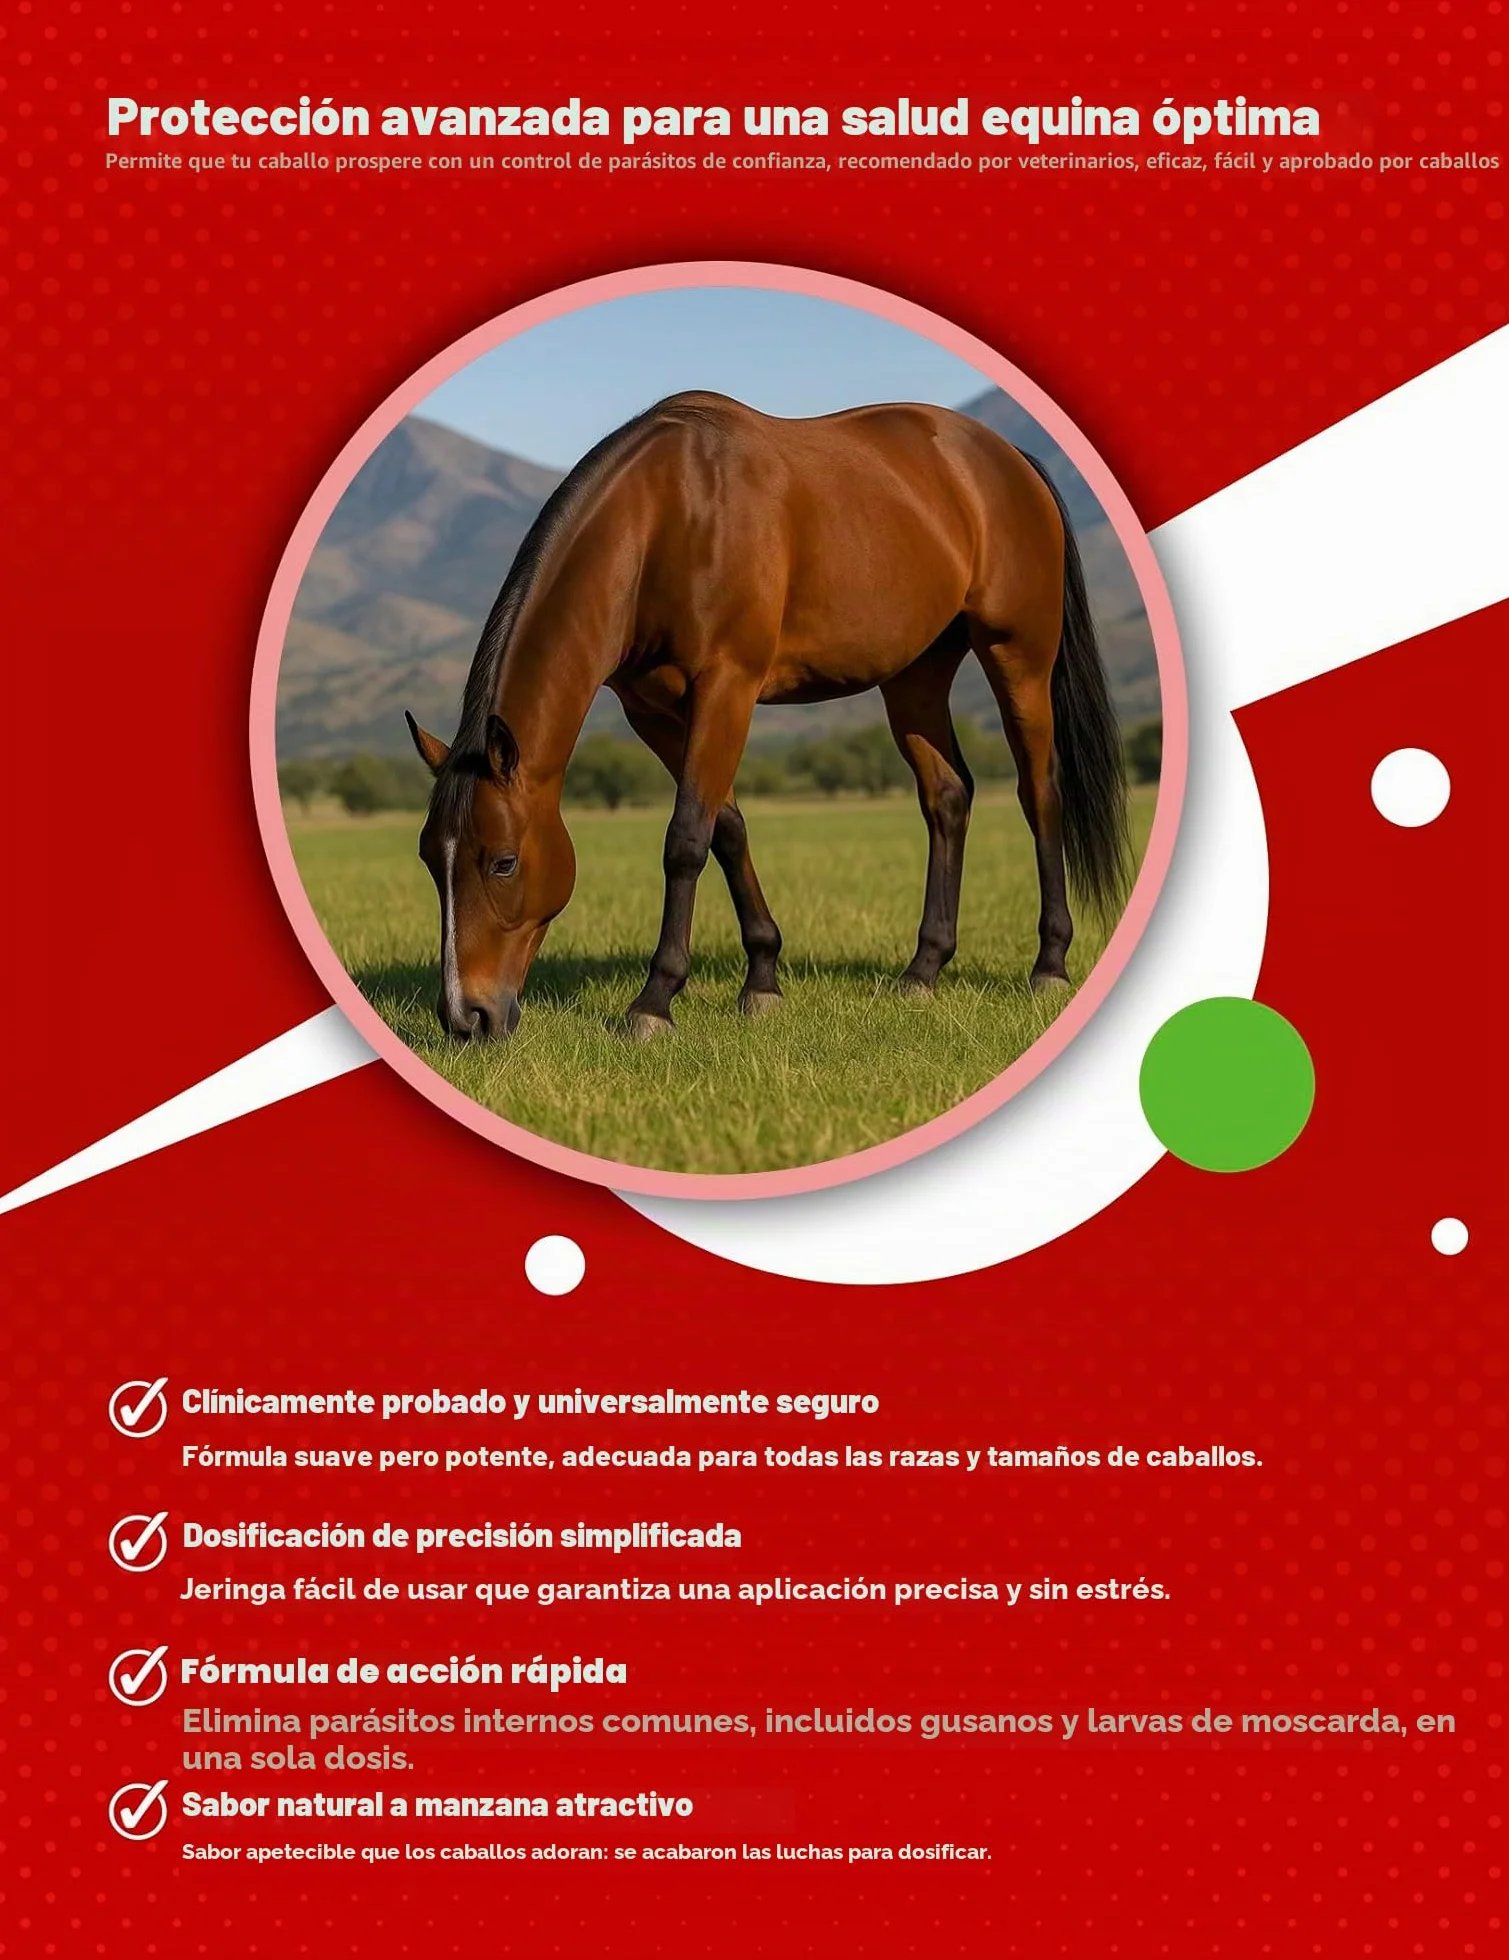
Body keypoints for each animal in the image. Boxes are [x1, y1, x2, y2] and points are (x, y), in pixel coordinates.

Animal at [405, 391, 1130, 1042]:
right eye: (428, 859)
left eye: (502, 862)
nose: (466, 1018)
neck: (666, 518)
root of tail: (1008, 459)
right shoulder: (652, 710)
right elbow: (725, 828)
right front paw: (761, 979)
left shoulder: (726, 687)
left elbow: (685, 840)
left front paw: (654, 1001)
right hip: (916, 676)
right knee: (947, 796)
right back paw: (922, 970)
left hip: (1019, 658)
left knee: (1039, 793)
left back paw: (1049, 965)